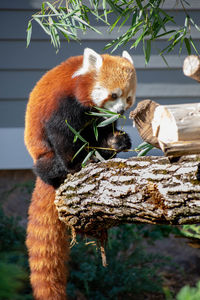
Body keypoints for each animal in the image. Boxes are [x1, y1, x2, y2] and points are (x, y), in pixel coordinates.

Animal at [24, 48, 138, 298]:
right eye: (113, 95)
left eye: (128, 98)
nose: (121, 111)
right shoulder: (64, 105)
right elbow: (63, 134)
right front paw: (77, 164)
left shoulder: (100, 119)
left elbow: (103, 129)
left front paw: (114, 141)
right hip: (43, 157)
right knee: (47, 166)